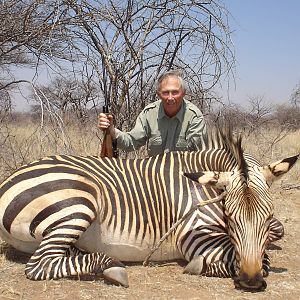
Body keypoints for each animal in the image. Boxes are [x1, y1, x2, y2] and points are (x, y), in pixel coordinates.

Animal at [0, 129, 298, 290]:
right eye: (231, 218)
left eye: (268, 216)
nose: (251, 281)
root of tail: (9, 179)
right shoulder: (193, 235)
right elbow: (254, 260)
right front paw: (198, 264)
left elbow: (276, 235)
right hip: (79, 202)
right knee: (40, 264)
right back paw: (113, 267)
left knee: (60, 253)